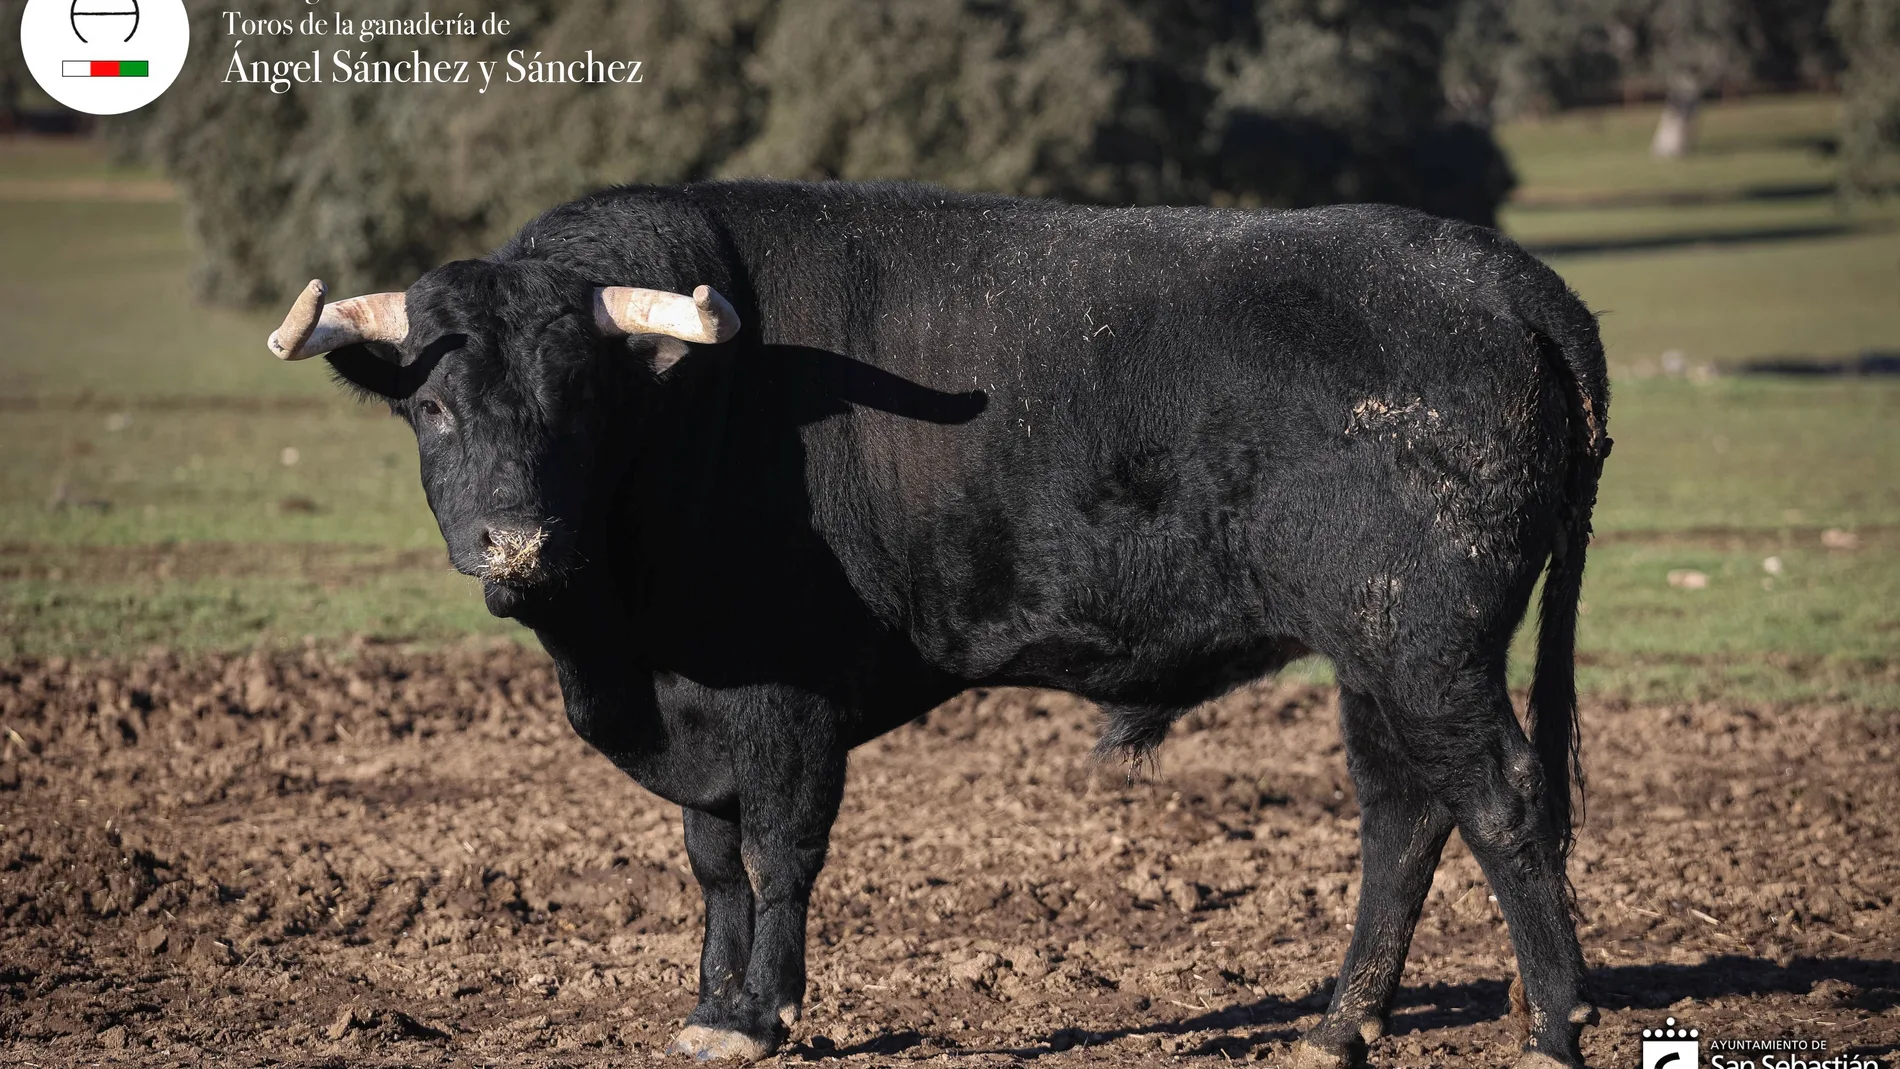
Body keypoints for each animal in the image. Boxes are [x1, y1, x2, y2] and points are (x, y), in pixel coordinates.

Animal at [300, 179, 1618, 1063]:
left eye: (579, 397)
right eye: (432, 407)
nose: (517, 542)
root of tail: (1496, 273)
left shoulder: (781, 700)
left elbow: (778, 853)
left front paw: (763, 1013)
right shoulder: (697, 706)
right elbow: (713, 859)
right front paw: (711, 1008)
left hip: (1426, 642)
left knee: (1500, 796)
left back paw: (1553, 1022)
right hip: (1373, 652)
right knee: (1403, 811)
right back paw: (1338, 1025)